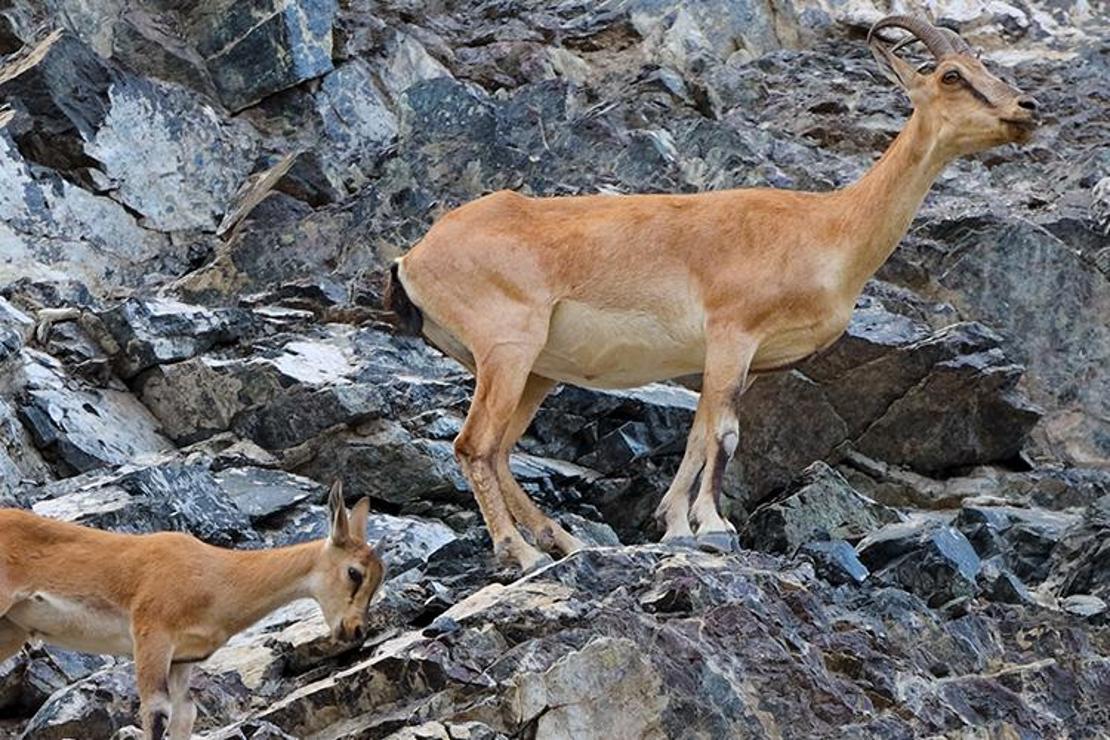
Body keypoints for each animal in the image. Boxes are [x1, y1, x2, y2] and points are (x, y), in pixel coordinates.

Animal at [0, 481, 384, 740]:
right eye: (354, 573)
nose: (355, 630)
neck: (217, 577)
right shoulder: (151, 634)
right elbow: (156, 711)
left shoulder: (182, 659)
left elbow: (184, 714)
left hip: (11, 630)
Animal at [384, 15, 1038, 572]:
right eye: (950, 75)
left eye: (983, 65)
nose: (1026, 108)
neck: (824, 227)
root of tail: (414, 257)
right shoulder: (732, 333)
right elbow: (724, 434)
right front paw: (714, 526)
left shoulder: (726, 361)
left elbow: (699, 434)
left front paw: (675, 524)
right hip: (508, 349)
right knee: (474, 445)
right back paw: (519, 552)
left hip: (536, 372)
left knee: (498, 450)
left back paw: (565, 541)